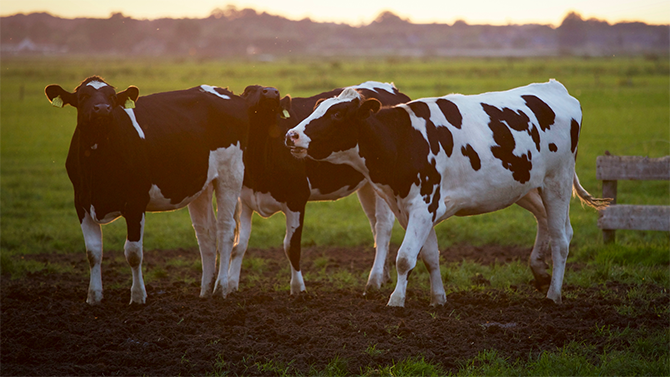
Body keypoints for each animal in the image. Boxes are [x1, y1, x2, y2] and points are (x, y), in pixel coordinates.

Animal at [43, 75, 278, 302]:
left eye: (112, 97)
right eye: (83, 96)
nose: (102, 109)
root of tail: (228, 93)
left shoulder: (135, 203)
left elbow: (133, 252)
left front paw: (138, 296)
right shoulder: (81, 203)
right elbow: (93, 252)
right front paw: (94, 297)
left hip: (231, 174)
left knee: (226, 230)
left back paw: (220, 288)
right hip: (201, 185)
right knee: (206, 234)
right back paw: (205, 290)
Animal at [228, 82, 412, 294]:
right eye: (249, 90)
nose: (272, 92)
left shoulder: (296, 198)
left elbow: (291, 246)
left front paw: (298, 289)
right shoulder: (245, 199)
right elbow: (239, 245)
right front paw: (229, 286)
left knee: (383, 227)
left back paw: (374, 281)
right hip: (368, 186)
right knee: (374, 224)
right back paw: (383, 275)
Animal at [286, 79, 612, 306]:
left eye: (337, 115)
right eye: (316, 109)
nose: (291, 135)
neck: (403, 139)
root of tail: (555, 88)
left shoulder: (423, 204)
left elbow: (405, 257)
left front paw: (396, 300)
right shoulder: (411, 208)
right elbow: (429, 255)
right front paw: (438, 298)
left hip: (557, 181)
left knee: (561, 238)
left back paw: (554, 294)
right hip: (525, 186)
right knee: (549, 222)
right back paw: (540, 271)